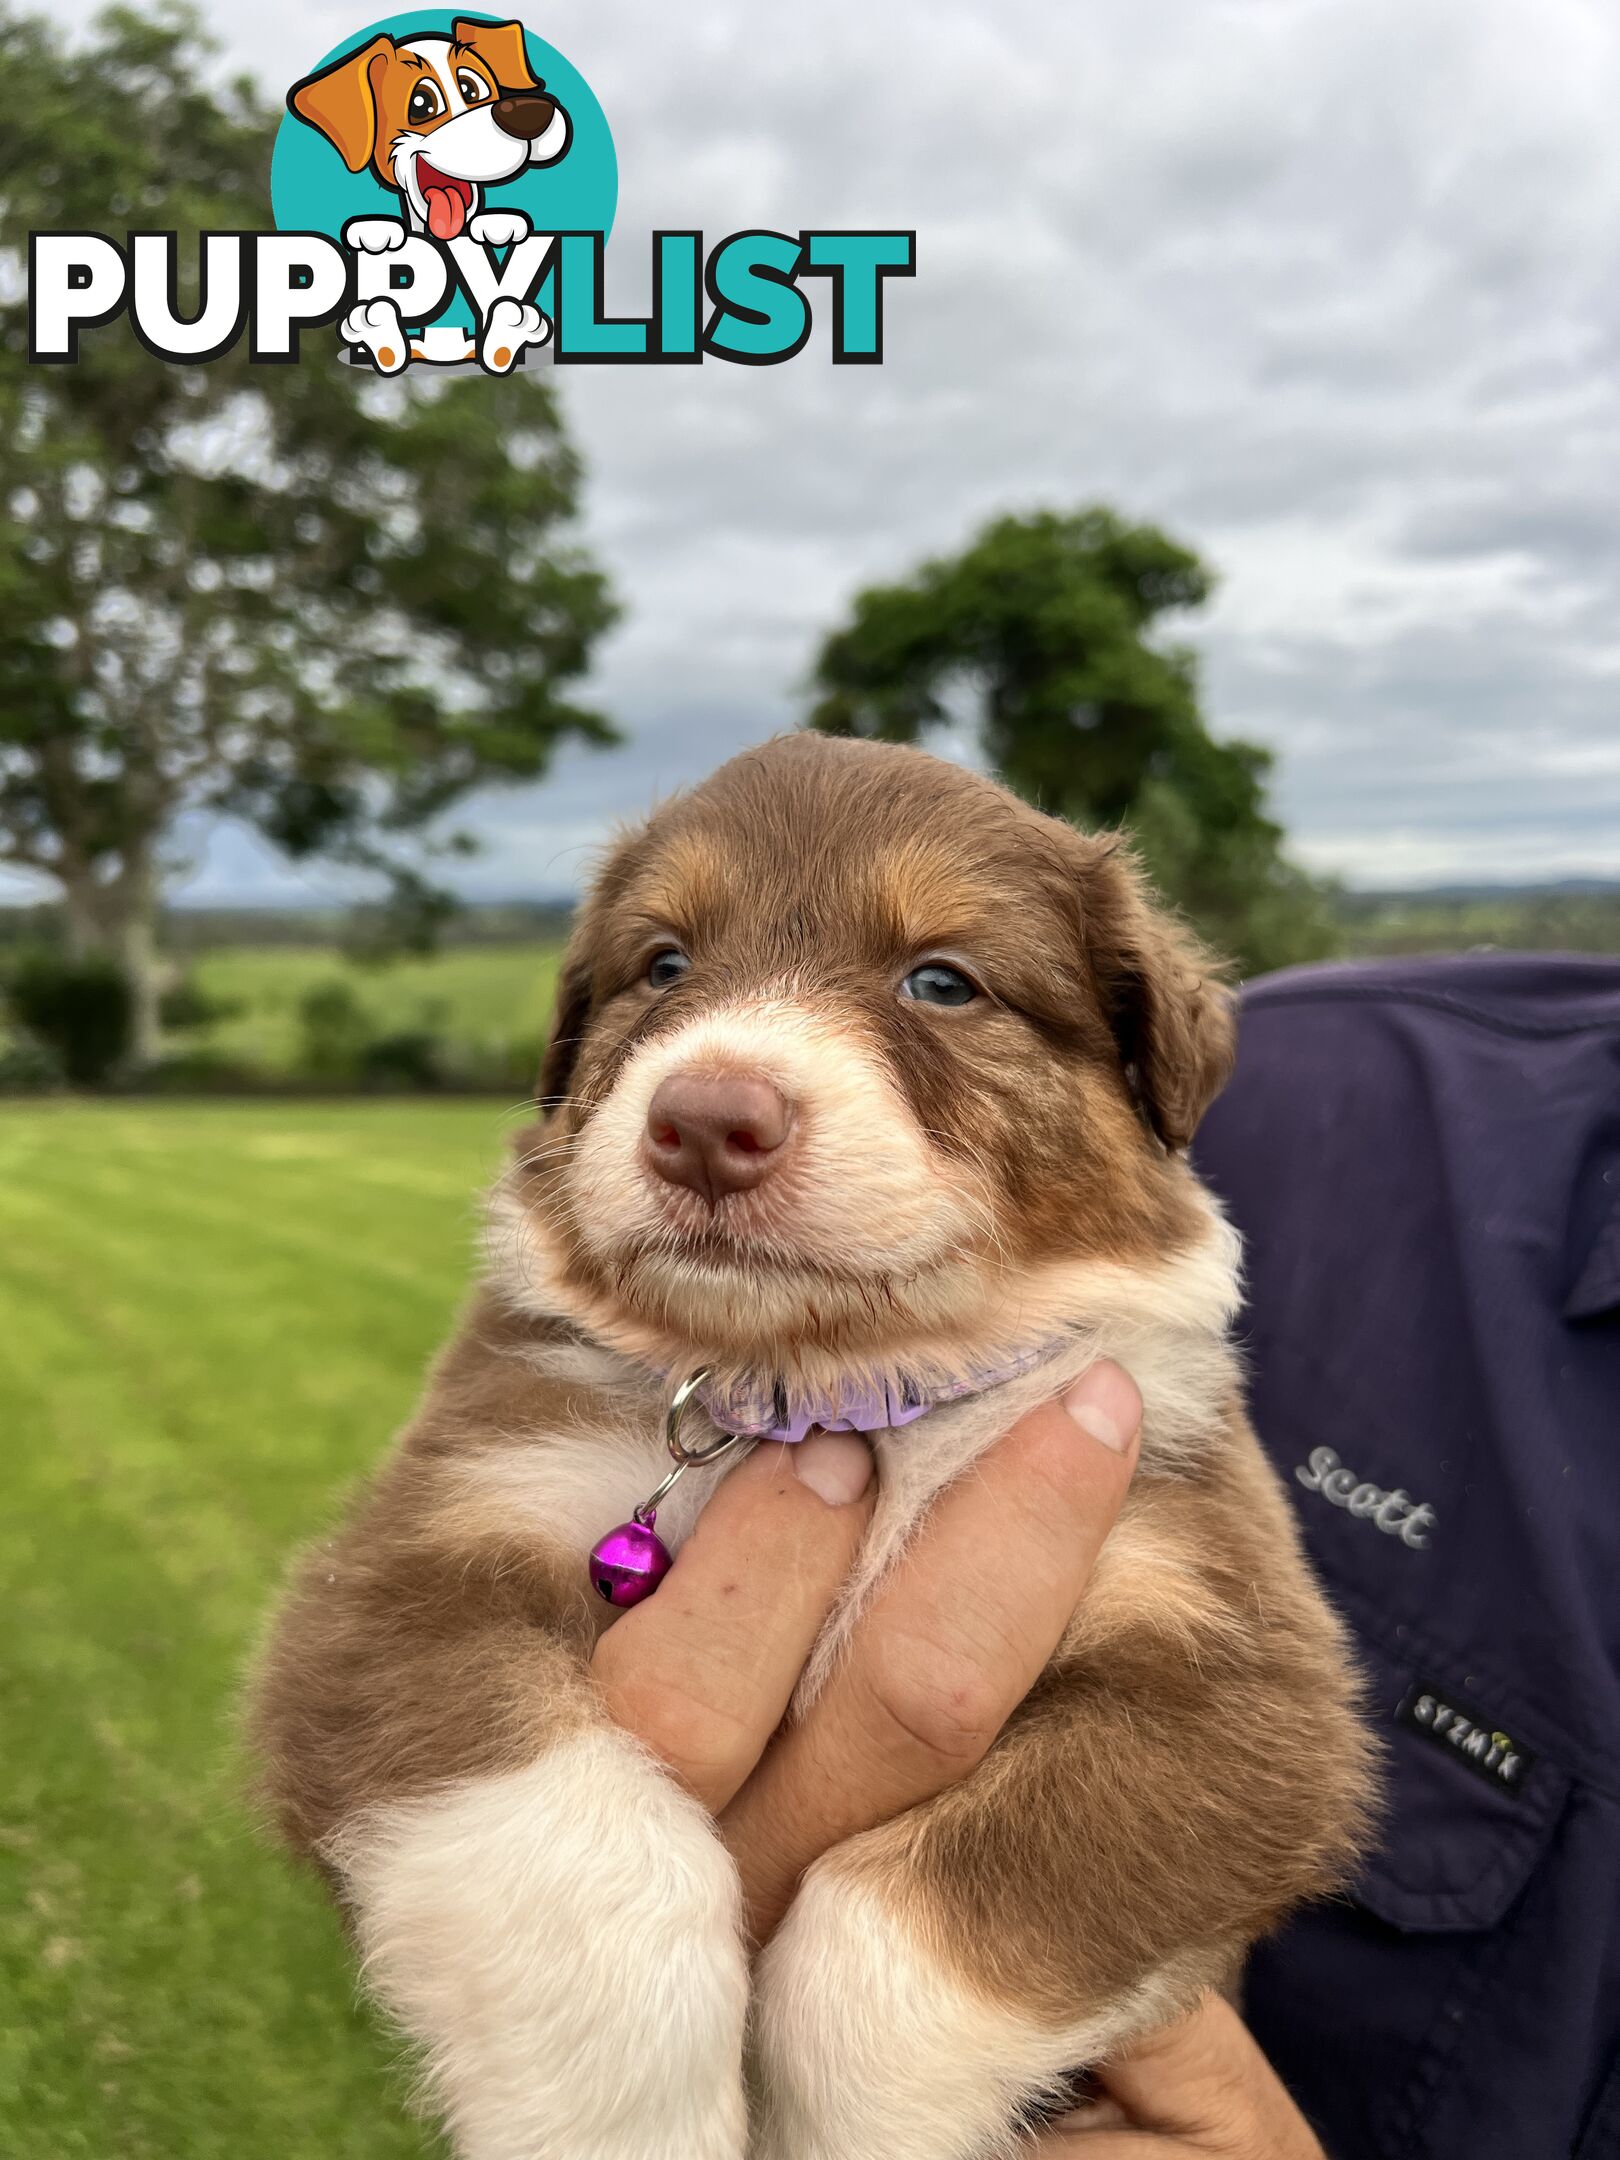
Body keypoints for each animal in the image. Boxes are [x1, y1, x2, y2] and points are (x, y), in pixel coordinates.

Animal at [253, 738, 1382, 2160]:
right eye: (662, 963)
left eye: (942, 980)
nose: (704, 1120)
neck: (832, 1390)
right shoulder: (407, 1574)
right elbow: (567, 1842)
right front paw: (625, 2118)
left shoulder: (1239, 1683)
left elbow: (913, 1927)